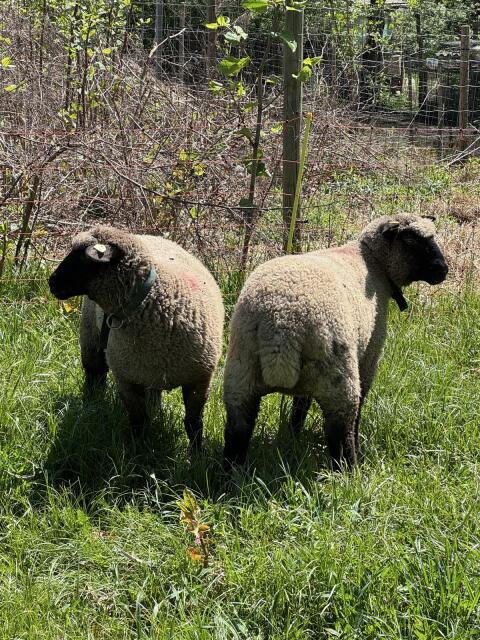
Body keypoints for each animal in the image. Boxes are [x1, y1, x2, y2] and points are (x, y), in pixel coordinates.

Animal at [49, 225, 224, 452]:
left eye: (82, 258)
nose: (51, 282)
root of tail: (147, 235)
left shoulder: (199, 379)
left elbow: (193, 423)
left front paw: (197, 454)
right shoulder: (127, 379)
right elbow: (138, 421)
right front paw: (135, 451)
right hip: (91, 338)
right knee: (95, 375)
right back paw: (92, 405)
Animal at [223, 213, 448, 471]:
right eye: (410, 240)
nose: (443, 270)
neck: (371, 261)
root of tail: (280, 322)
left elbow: (300, 405)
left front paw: (292, 435)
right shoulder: (369, 356)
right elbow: (360, 402)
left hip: (242, 372)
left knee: (237, 431)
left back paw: (230, 476)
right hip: (337, 375)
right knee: (341, 429)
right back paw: (351, 470)